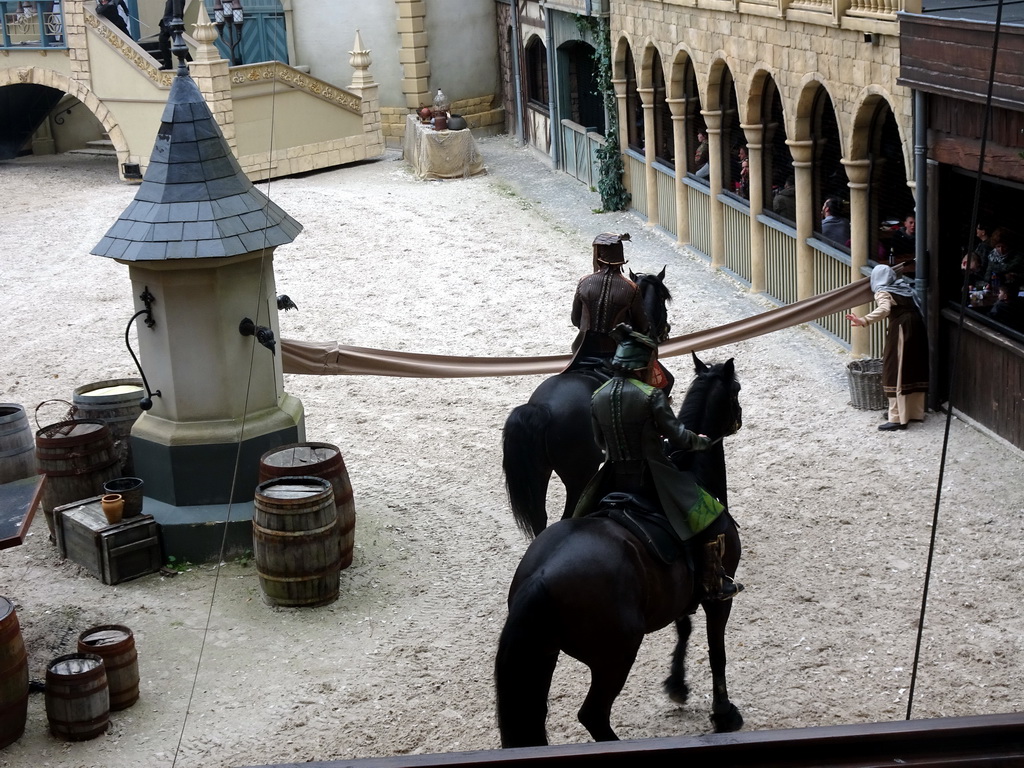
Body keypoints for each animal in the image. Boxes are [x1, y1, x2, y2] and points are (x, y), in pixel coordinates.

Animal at [495, 356, 745, 753]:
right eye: (735, 389)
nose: (739, 418)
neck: (692, 474)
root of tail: (542, 577)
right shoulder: (719, 596)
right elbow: (716, 652)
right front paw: (724, 713)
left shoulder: (679, 592)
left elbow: (684, 628)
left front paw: (677, 684)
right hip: (615, 657)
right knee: (593, 715)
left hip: (542, 653)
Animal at [501, 270, 671, 540]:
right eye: (664, 297)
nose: (666, 329)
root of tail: (542, 409)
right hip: (579, 476)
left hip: (539, 472)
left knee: (540, 519)